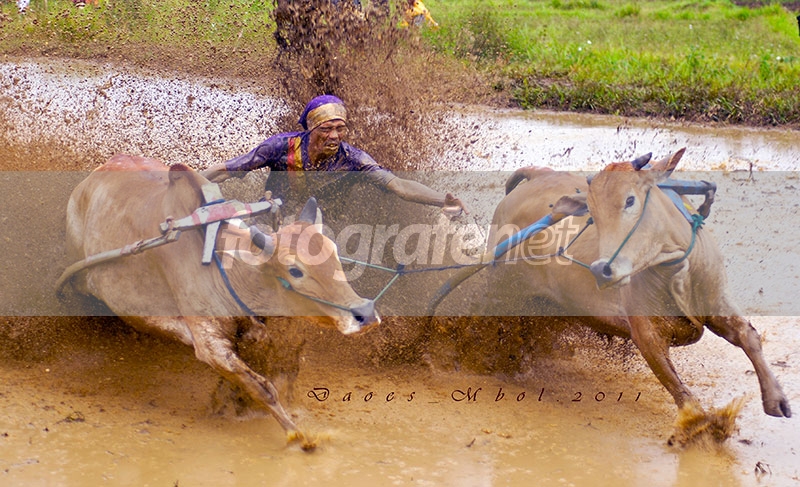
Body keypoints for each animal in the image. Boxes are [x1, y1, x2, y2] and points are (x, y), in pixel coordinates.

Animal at [61, 154, 380, 450]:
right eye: (295, 271)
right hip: (80, 284)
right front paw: (298, 434)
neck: (224, 265)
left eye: (334, 251)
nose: (364, 313)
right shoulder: (210, 345)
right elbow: (263, 388)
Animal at [430, 148, 790, 443]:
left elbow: (749, 337)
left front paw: (777, 400)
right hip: (500, 287)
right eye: (591, 209)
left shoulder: (718, 302)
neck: (676, 270)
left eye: (630, 200)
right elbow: (684, 397)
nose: (602, 269)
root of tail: (537, 174)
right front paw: (704, 427)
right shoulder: (645, 334)